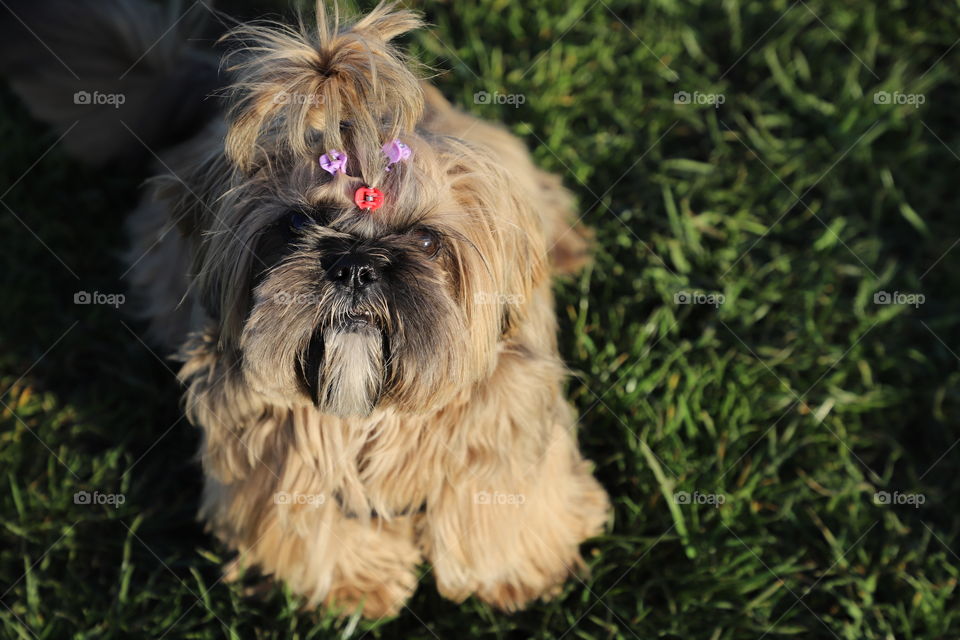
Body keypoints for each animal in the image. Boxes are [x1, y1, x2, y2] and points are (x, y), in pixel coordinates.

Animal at [3, 0, 612, 620]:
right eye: (294, 224)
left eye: (425, 240)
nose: (355, 264)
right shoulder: (275, 450)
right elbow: (311, 521)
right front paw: (355, 583)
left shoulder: (500, 421)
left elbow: (493, 499)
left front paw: (512, 574)